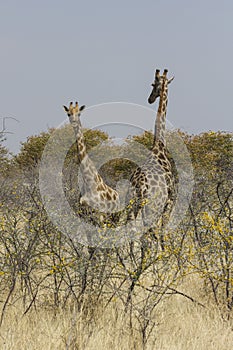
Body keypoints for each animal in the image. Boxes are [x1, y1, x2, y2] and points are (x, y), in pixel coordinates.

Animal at [128, 67, 176, 238]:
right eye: (153, 84)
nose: (150, 98)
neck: (159, 147)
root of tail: (141, 186)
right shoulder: (170, 201)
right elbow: (162, 232)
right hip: (152, 208)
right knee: (150, 233)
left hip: (131, 206)